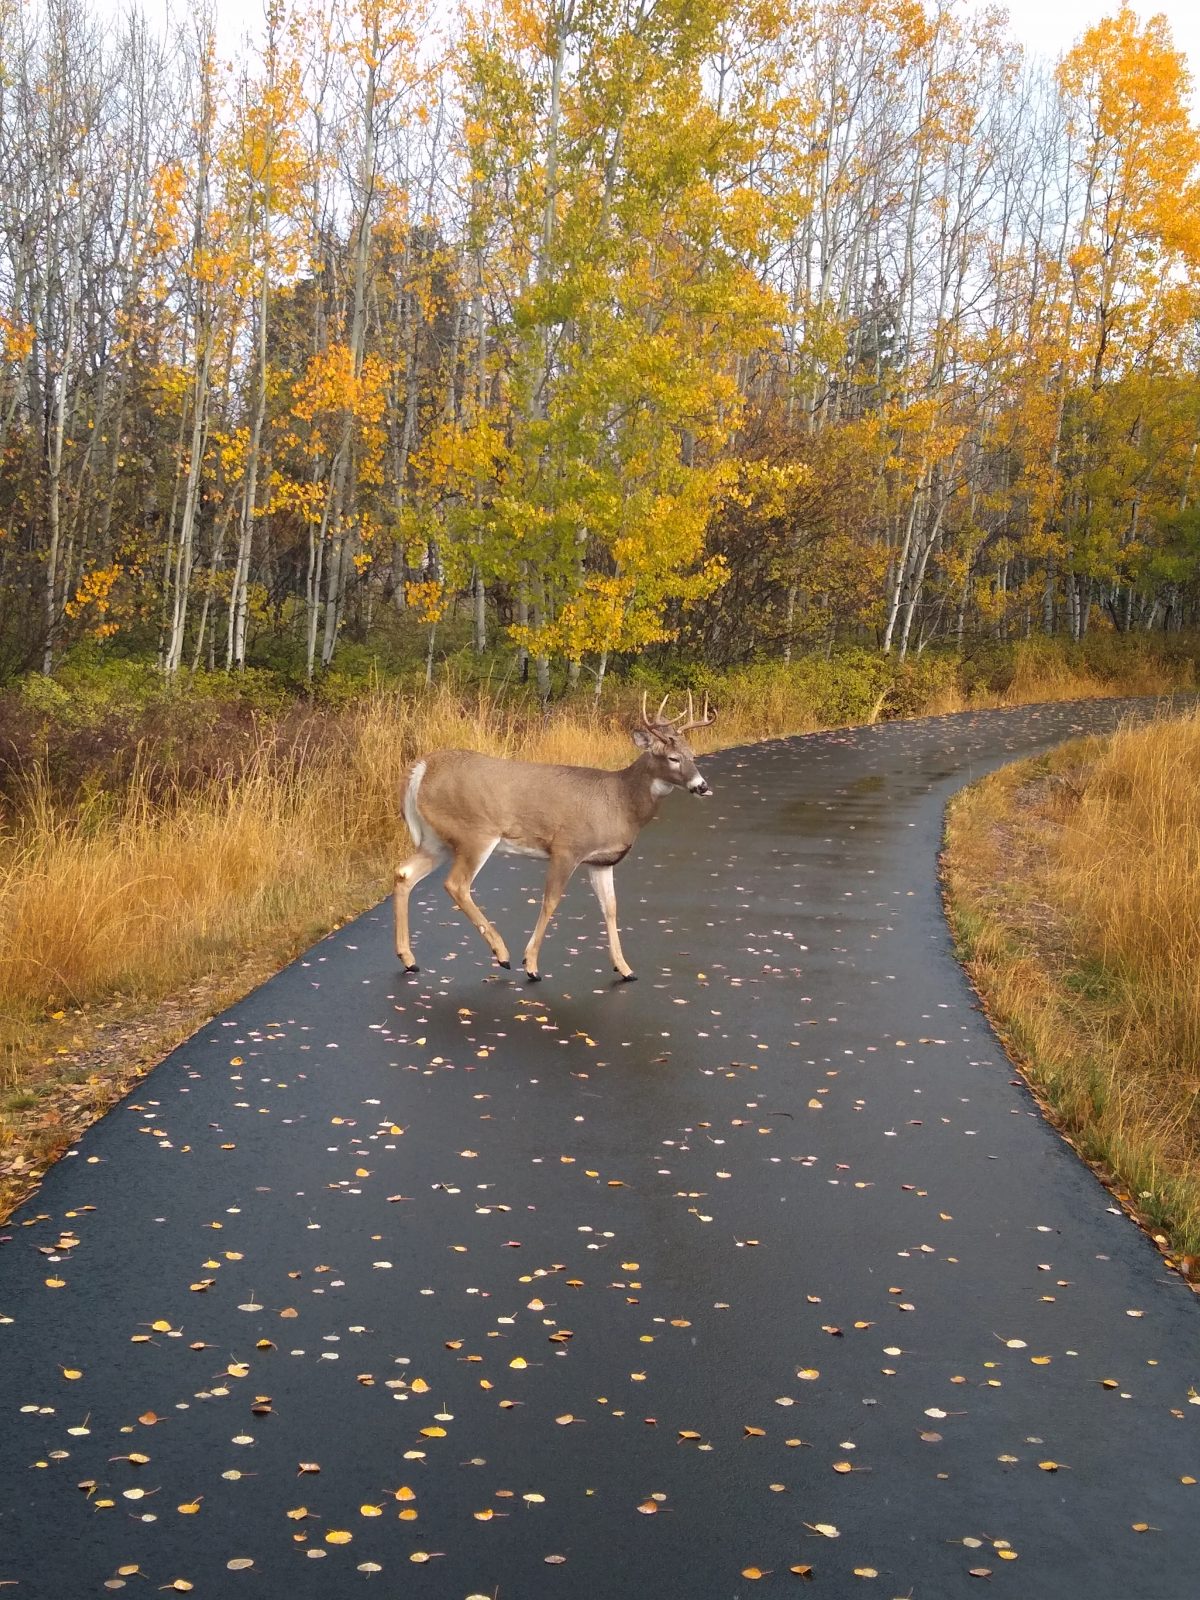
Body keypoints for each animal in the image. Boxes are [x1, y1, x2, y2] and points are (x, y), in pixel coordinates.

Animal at [395, 694, 720, 979]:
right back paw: (502, 954)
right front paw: (531, 964)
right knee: (456, 884)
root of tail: (421, 768)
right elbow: (551, 901)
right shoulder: (567, 847)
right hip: (475, 832)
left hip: (436, 839)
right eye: (673, 758)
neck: (621, 801)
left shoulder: (601, 861)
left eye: (692, 755)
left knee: (404, 873)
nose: (702, 786)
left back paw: (409, 959)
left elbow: (611, 908)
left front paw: (625, 969)